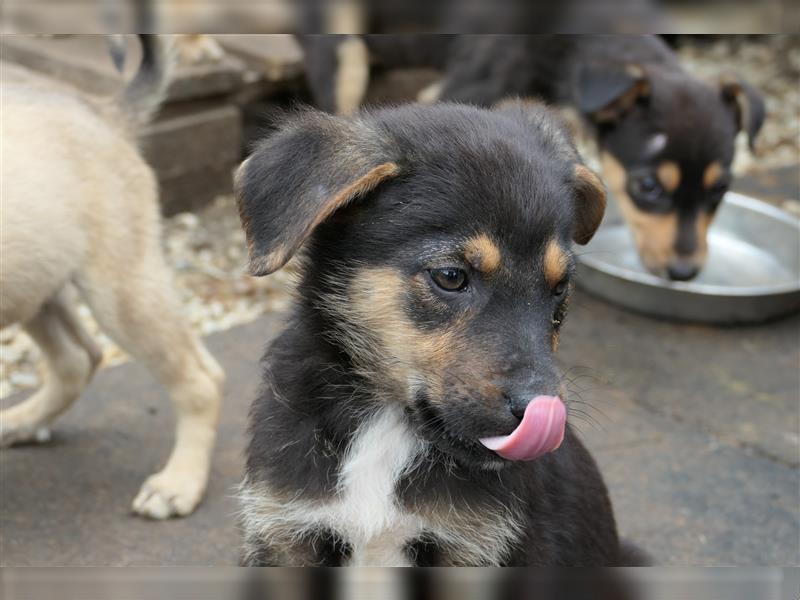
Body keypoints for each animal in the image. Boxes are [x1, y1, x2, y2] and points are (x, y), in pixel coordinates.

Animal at [0, 35, 225, 516]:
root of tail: (104, 112)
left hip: (121, 292)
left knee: (200, 380)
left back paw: (179, 483)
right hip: (36, 282)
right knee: (77, 358)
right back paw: (22, 422)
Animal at [233, 101, 644, 564]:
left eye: (560, 288)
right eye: (451, 276)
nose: (541, 411)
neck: (388, 423)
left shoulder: (474, 547)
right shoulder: (286, 532)